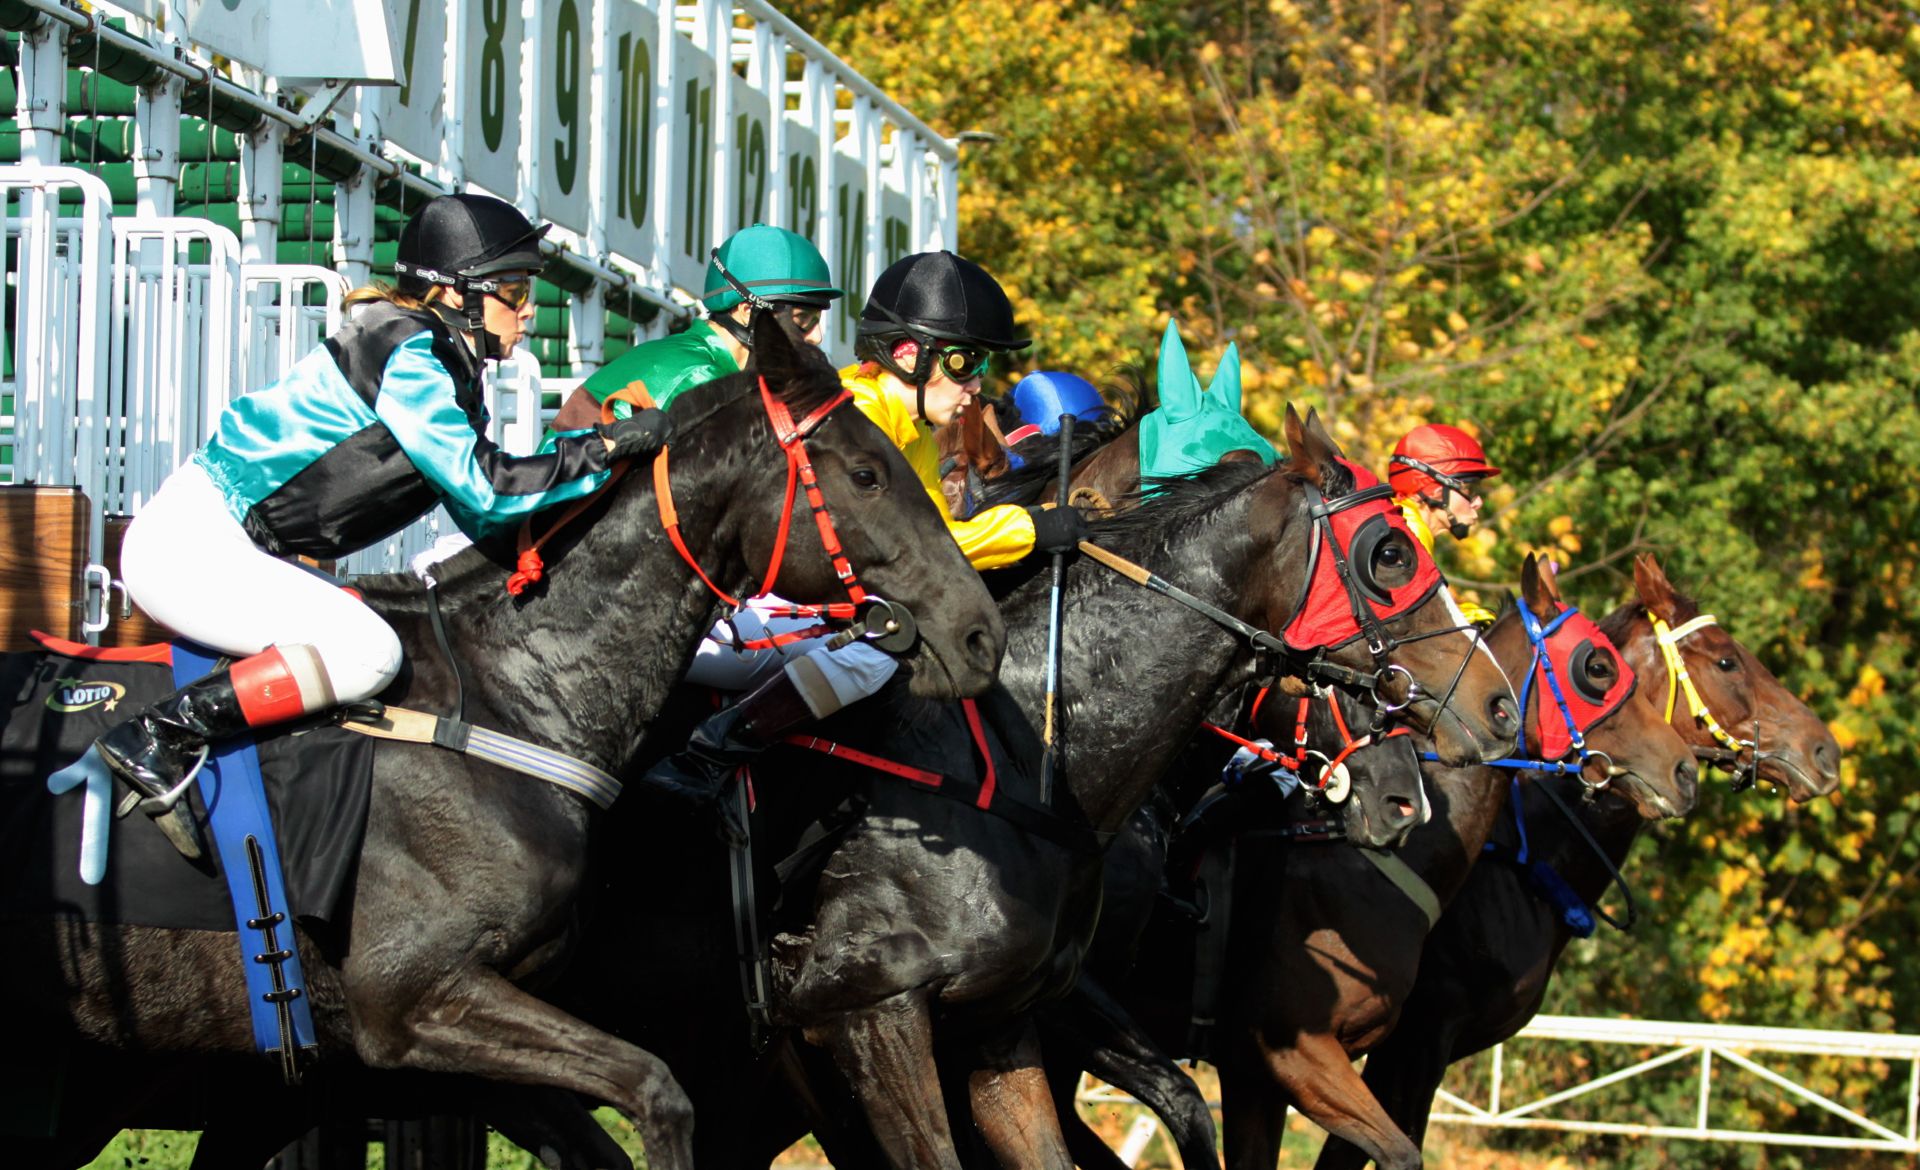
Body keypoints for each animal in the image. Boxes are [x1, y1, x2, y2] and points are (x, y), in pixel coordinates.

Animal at [0, 313, 1013, 1168]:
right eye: (868, 473)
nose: (979, 635)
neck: (510, 691)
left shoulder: (454, 1030)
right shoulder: (411, 996)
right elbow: (659, 1095)